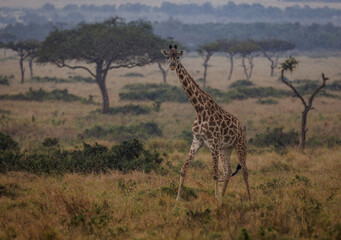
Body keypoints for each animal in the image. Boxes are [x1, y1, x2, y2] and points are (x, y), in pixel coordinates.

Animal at [159, 44, 250, 201]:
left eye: (178, 57)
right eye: (168, 57)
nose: (171, 66)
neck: (199, 110)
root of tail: (242, 128)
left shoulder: (213, 143)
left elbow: (214, 173)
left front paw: (216, 199)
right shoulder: (196, 141)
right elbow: (183, 169)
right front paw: (178, 199)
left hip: (240, 145)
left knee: (244, 171)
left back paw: (250, 199)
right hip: (225, 149)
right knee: (228, 171)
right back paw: (223, 197)